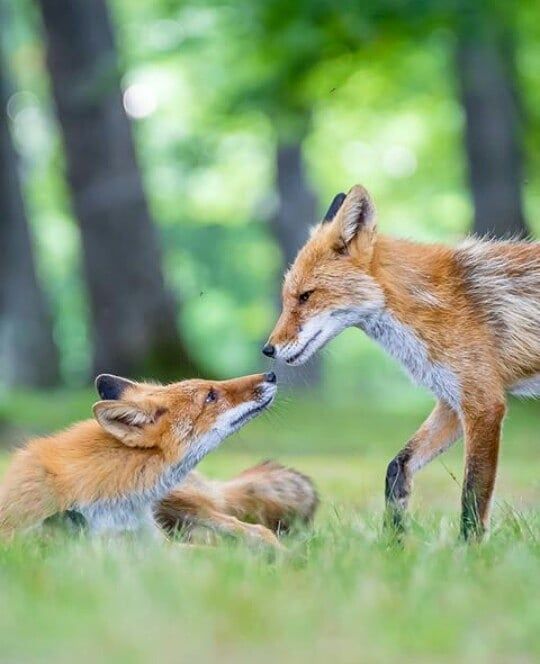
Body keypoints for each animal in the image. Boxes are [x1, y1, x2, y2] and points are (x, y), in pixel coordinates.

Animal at [263, 184, 540, 539]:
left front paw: (469, 551)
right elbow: (397, 466)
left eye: (306, 296)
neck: (430, 303)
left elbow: (472, 497)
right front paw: (394, 540)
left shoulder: (484, 404)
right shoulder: (452, 402)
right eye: (287, 298)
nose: (268, 350)